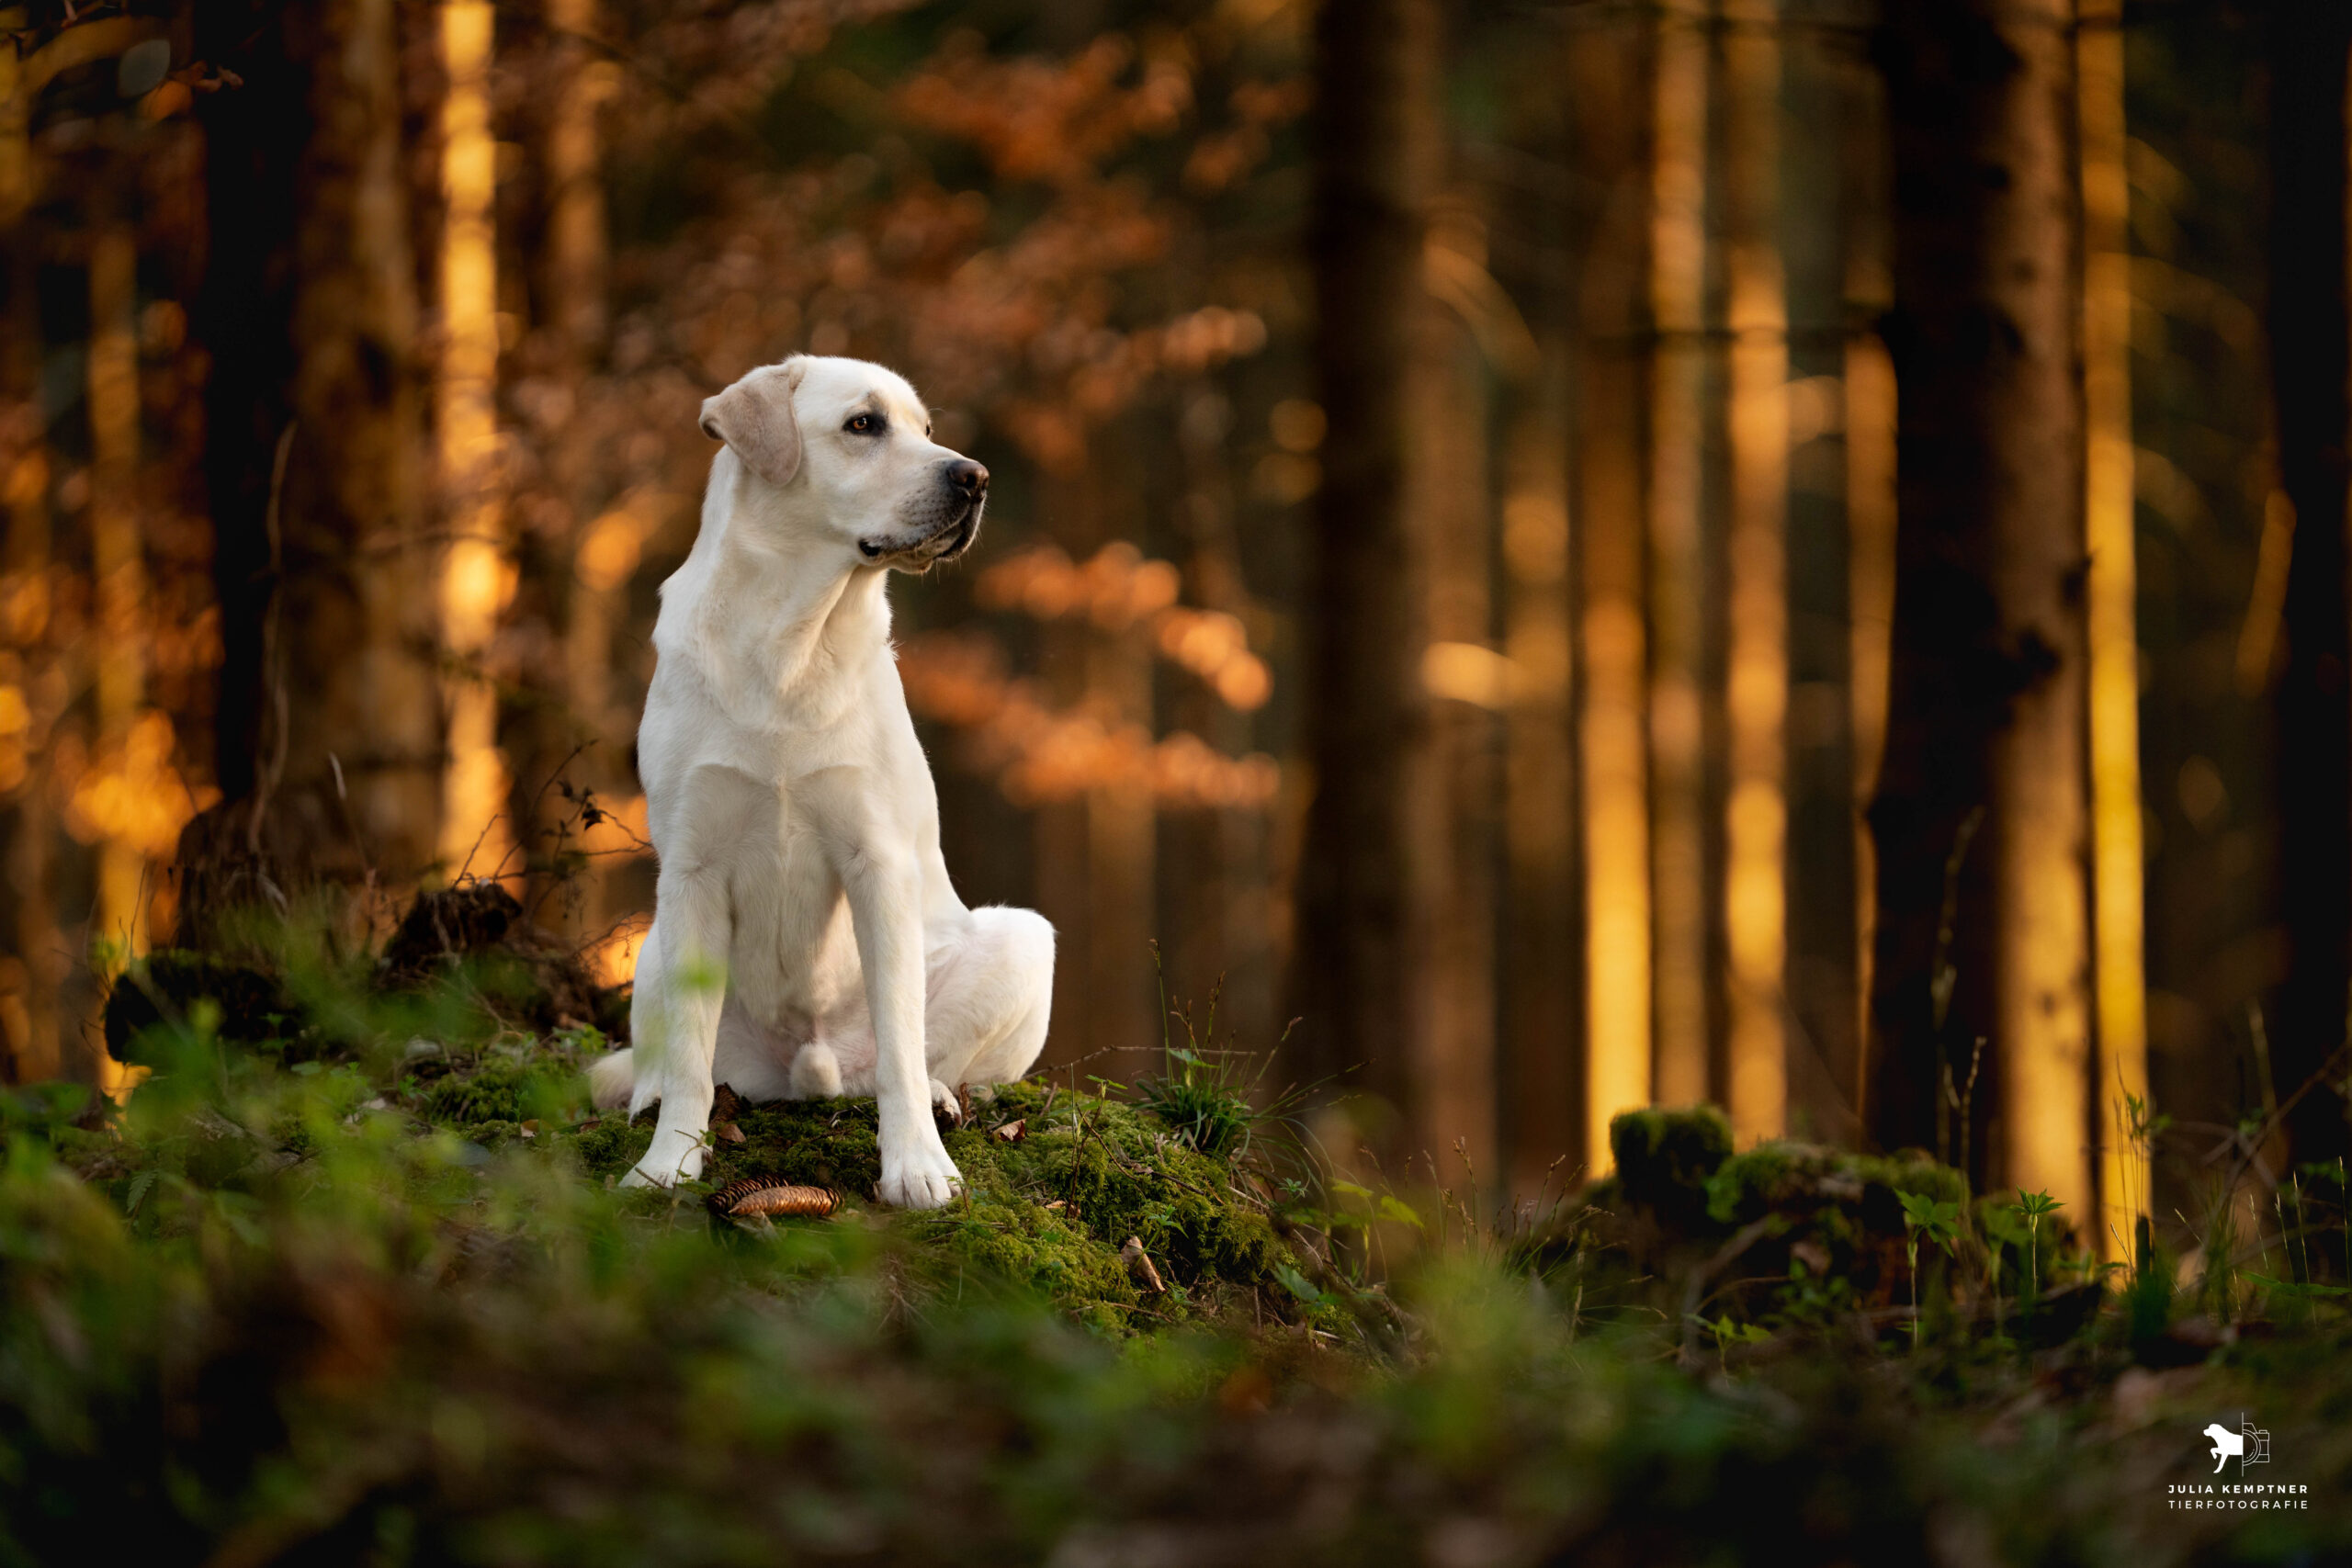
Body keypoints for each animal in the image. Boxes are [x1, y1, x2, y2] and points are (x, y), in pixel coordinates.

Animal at [593, 359, 1053, 1213]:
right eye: (863, 425)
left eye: (927, 429)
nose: (974, 477)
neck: (790, 639)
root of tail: (809, 1073)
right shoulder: (691, 869)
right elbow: (687, 1061)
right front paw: (667, 1162)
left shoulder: (878, 861)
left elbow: (903, 1042)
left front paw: (916, 1166)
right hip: (653, 950)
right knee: (676, 1060)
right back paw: (649, 1095)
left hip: (1022, 940)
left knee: (922, 1056)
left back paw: (938, 1100)